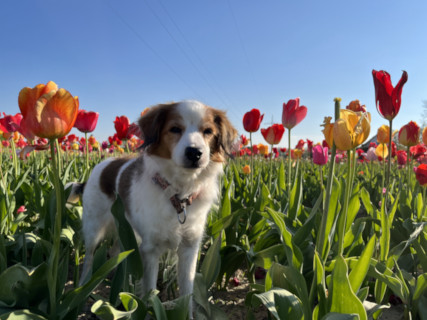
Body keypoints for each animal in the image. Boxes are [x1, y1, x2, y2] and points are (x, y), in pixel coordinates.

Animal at [72, 100, 237, 316]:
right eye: (175, 129)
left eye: (208, 131)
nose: (195, 152)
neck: (178, 194)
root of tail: (103, 164)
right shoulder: (150, 249)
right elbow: (150, 291)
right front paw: (148, 309)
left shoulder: (189, 248)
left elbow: (187, 293)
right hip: (94, 228)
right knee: (90, 258)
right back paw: (83, 289)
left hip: (124, 227)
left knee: (116, 250)